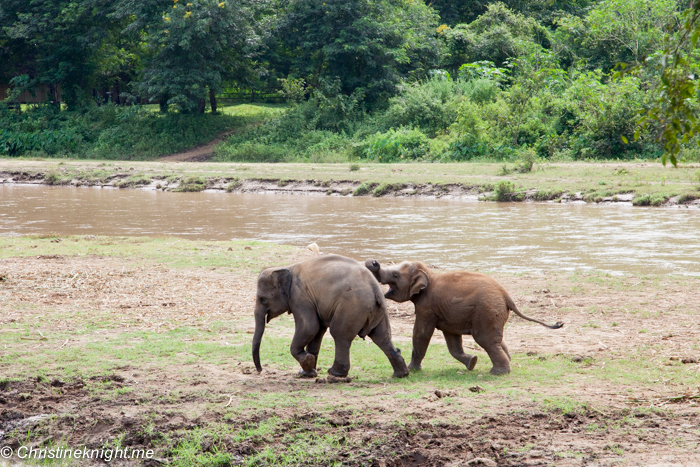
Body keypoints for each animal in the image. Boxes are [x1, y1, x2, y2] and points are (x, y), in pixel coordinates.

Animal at [253, 256, 410, 380]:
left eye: (262, 299)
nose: (260, 371)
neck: (286, 268)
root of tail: (375, 289)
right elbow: (317, 332)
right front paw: (307, 372)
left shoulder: (300, 297)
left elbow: (309, 327)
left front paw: (308, 363)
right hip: (378, 310)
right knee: (382, 337)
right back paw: (400, 374)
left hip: (351, 307)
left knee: (340, 335)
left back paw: (335, 373)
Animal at [364, 260, 560, 376]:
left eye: (395, 275)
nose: (374, 262)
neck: (429, 273)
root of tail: (506, 296)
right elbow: (452, 340)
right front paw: (472, 362)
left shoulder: (427, 307)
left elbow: (421, 334)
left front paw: (414, 370)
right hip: (493, 313)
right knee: (497, 340)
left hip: (486, 312)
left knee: (486, 339)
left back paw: (498, 373)